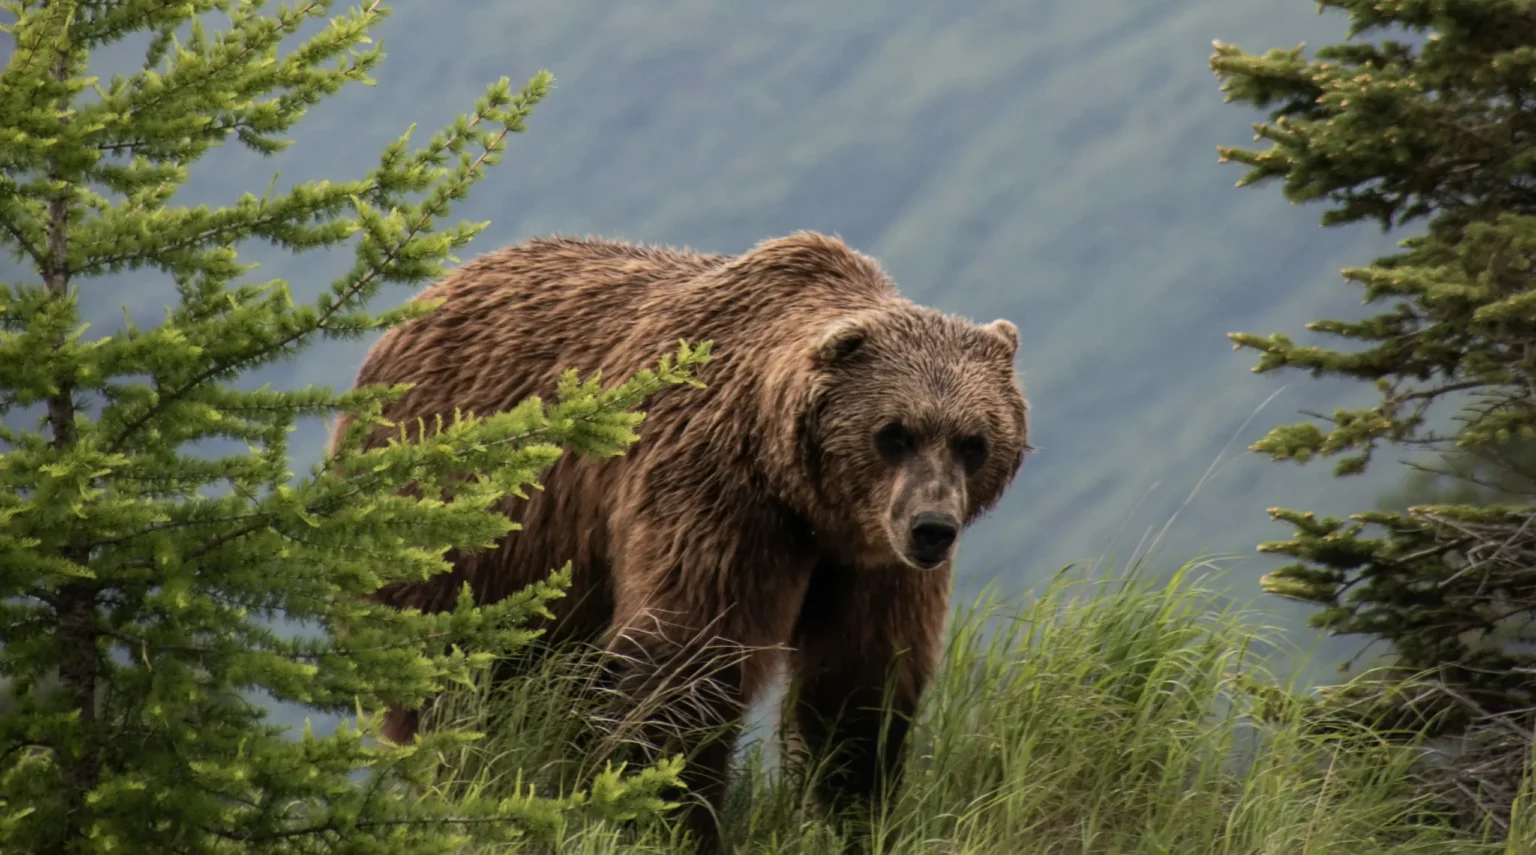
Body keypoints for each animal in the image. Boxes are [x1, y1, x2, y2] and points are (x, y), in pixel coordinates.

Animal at [326, 231, 1030, 853]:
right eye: (894, 433)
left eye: (973, 441)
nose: (932, 527)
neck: (802, 496)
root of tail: (418, 305)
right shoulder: (714, 493)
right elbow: (686, 662)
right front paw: (664, 819)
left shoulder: (869, 560)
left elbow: (859, 683)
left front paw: (851, 815)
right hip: (460, 532)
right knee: (461, 690)